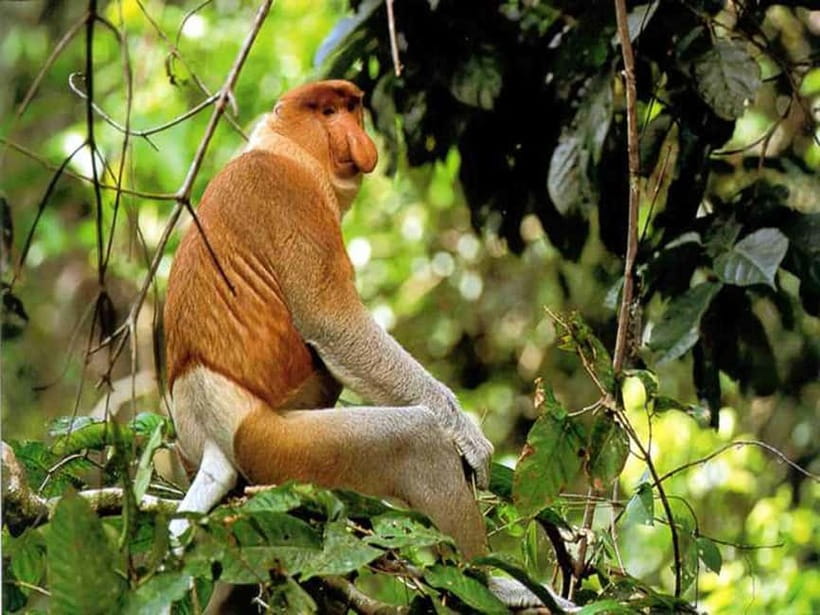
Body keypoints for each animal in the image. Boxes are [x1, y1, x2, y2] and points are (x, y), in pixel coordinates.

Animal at [164, 80, 575, 612]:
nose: (357, 138)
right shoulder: (287, 195)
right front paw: (466, 434)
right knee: (414, 443)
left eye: (350, 107)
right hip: (269, 445)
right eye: (326, 111)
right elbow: (333, 321)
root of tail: (208, 432)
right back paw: (491, 581)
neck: (286, 151)